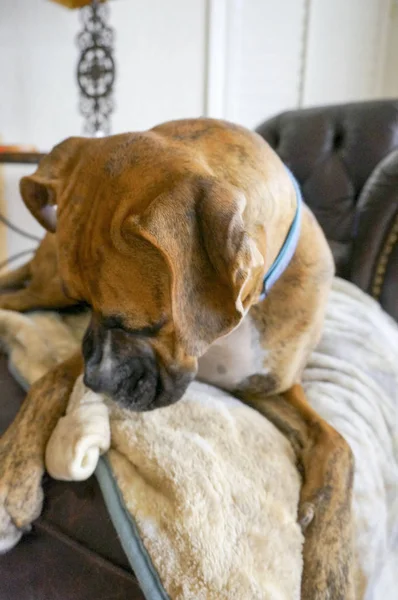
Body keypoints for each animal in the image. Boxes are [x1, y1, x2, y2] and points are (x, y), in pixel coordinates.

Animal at [0, 119, 354, 596]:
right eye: (88, 304)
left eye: (144, 325)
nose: (94, 382)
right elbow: (50, 382)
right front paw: (12, 482)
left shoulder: (269, 390)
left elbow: (338, 446)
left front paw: (330, 570)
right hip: (48, 287)